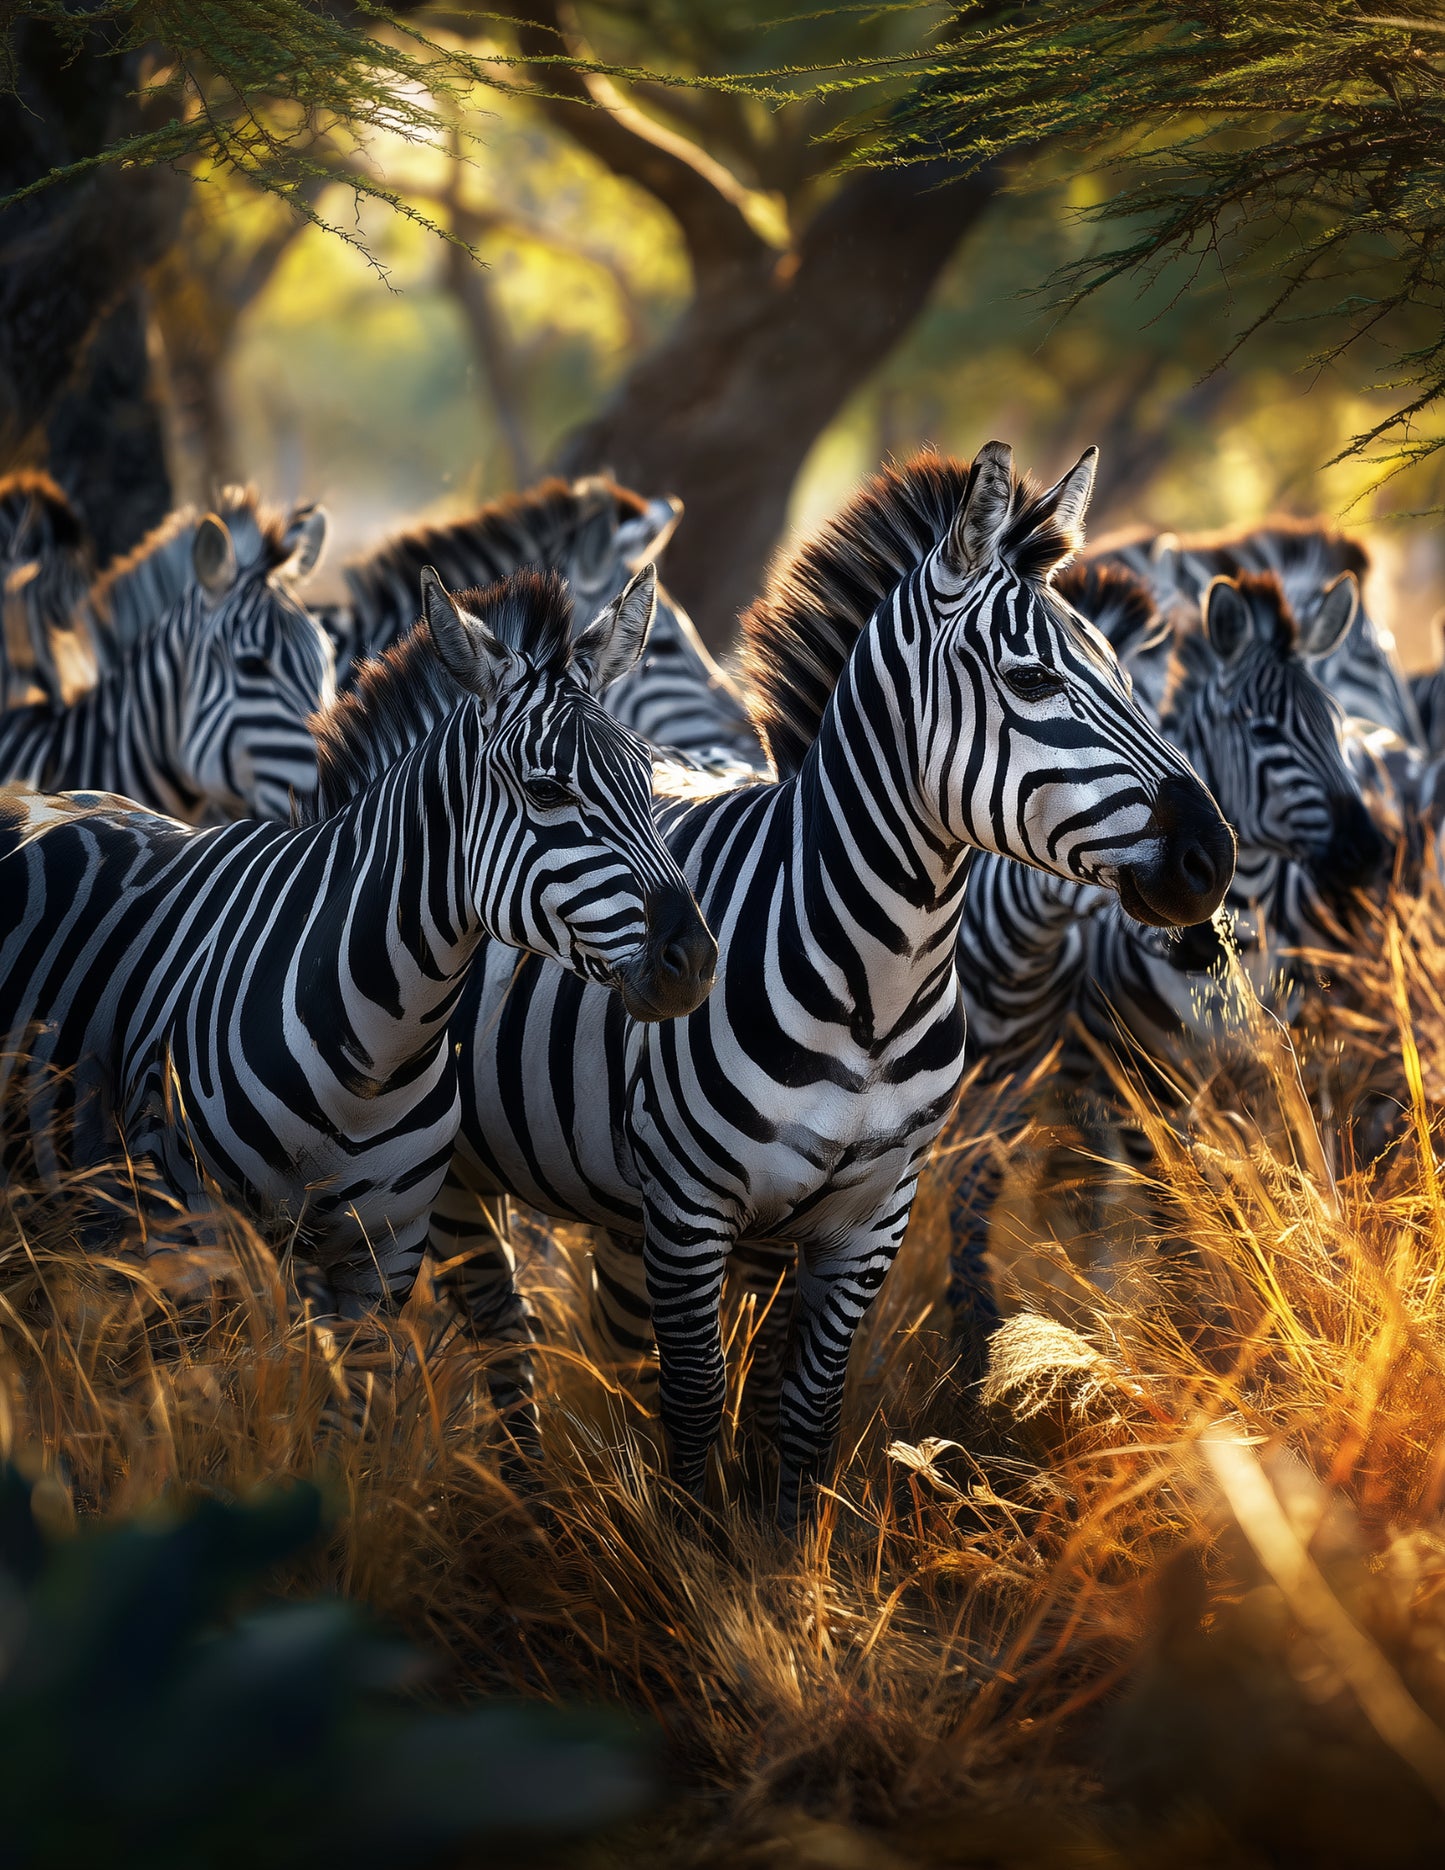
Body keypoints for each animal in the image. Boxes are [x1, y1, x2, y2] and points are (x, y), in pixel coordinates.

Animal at [0, 564, 715, 1328]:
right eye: (547, 792)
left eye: (646, 780)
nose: (697, 963)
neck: (376, 1053)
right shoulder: (189, 1239)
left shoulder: (383, 1262)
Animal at [428, 442, 1234, 1527]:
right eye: (1029, 678)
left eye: (1120, 673)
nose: (1211, 857)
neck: (875, 993)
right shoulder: (690, 1209)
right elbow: (697, 1406)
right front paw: (701, 1561)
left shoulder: (867, 1217)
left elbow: (804, 1412)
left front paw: (785, 1554)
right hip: (448, 1177)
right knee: (494, 1339)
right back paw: (523, 1498)